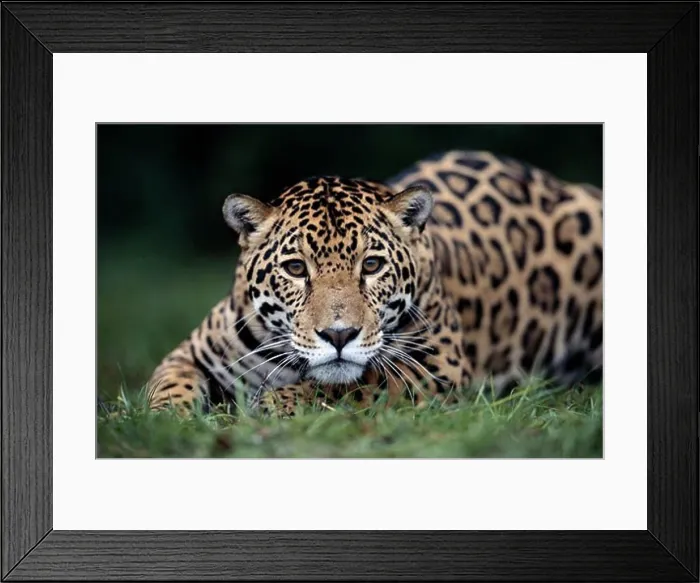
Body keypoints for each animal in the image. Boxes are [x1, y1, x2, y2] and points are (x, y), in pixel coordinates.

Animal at [147, 150, 602, 416]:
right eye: (295, 269)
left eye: (371, 265)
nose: (338, 335)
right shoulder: (189, 354)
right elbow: (169, 388)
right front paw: (166, 424)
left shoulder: (440, 365)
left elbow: (357, 385)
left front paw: (279, 401)